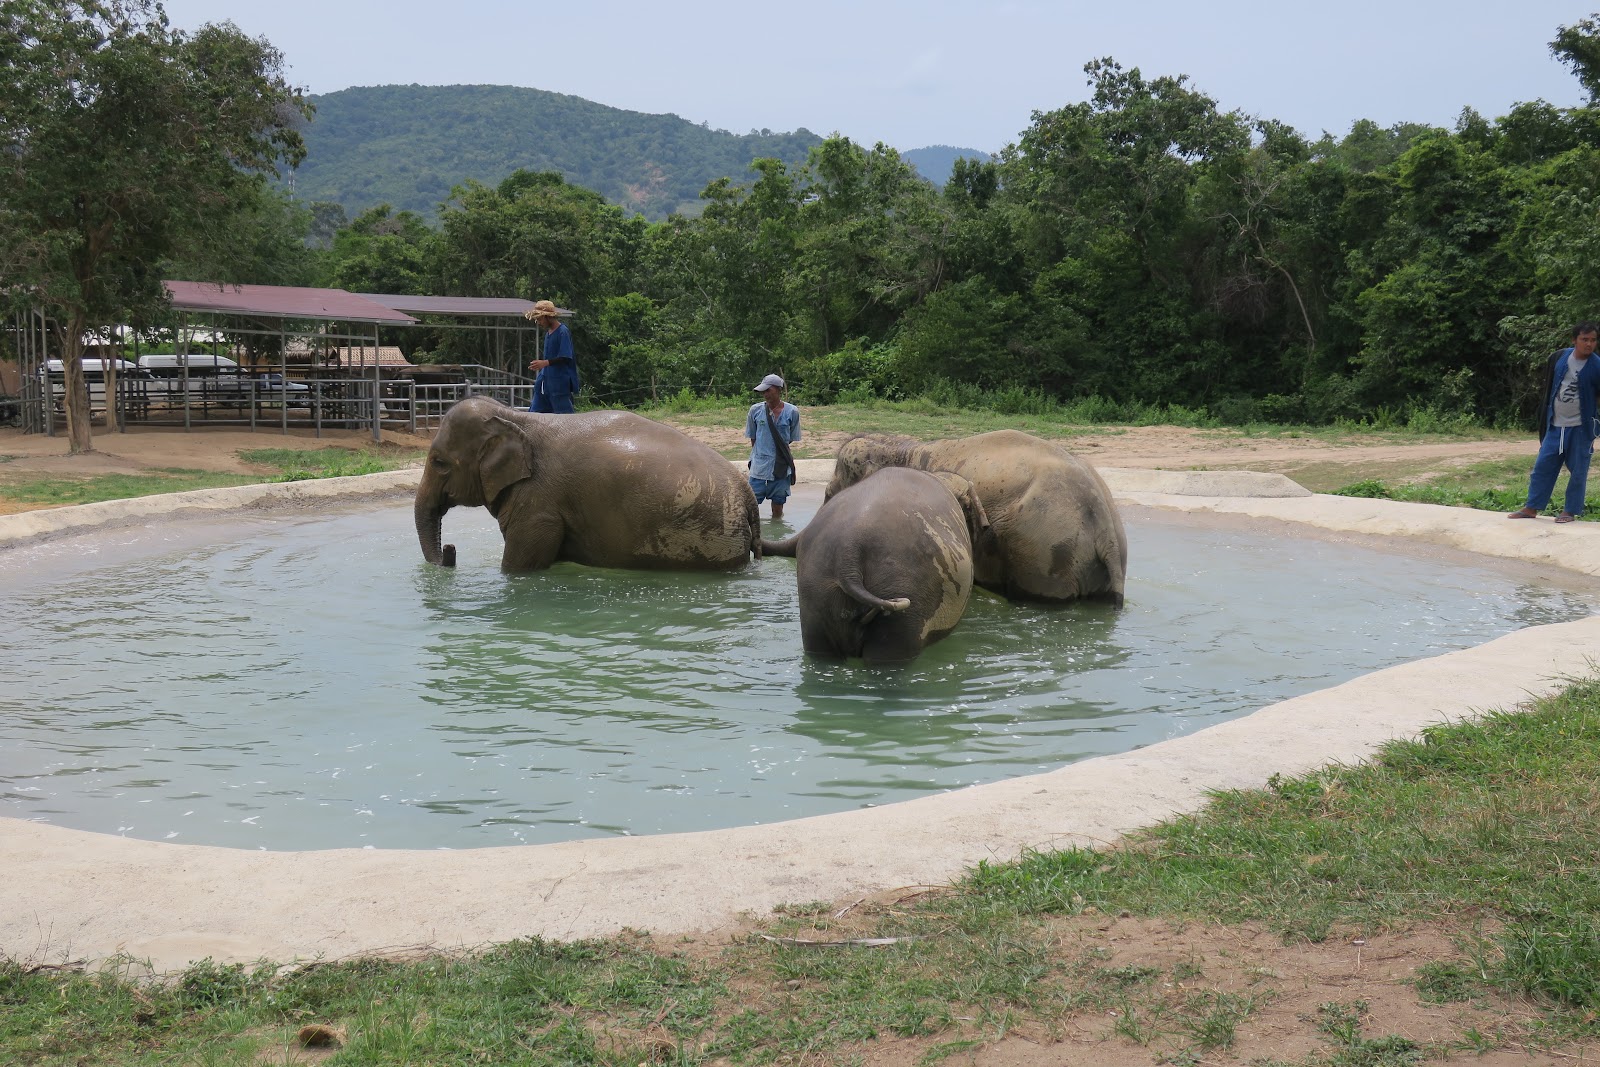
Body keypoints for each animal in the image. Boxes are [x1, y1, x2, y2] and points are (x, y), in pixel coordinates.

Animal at [415, 396, 760, 572]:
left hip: (715, 535)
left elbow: (519, 566)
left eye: (439, 463)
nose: (450, 550)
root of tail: (747, 492)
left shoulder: (538, 504)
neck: (515, 416)